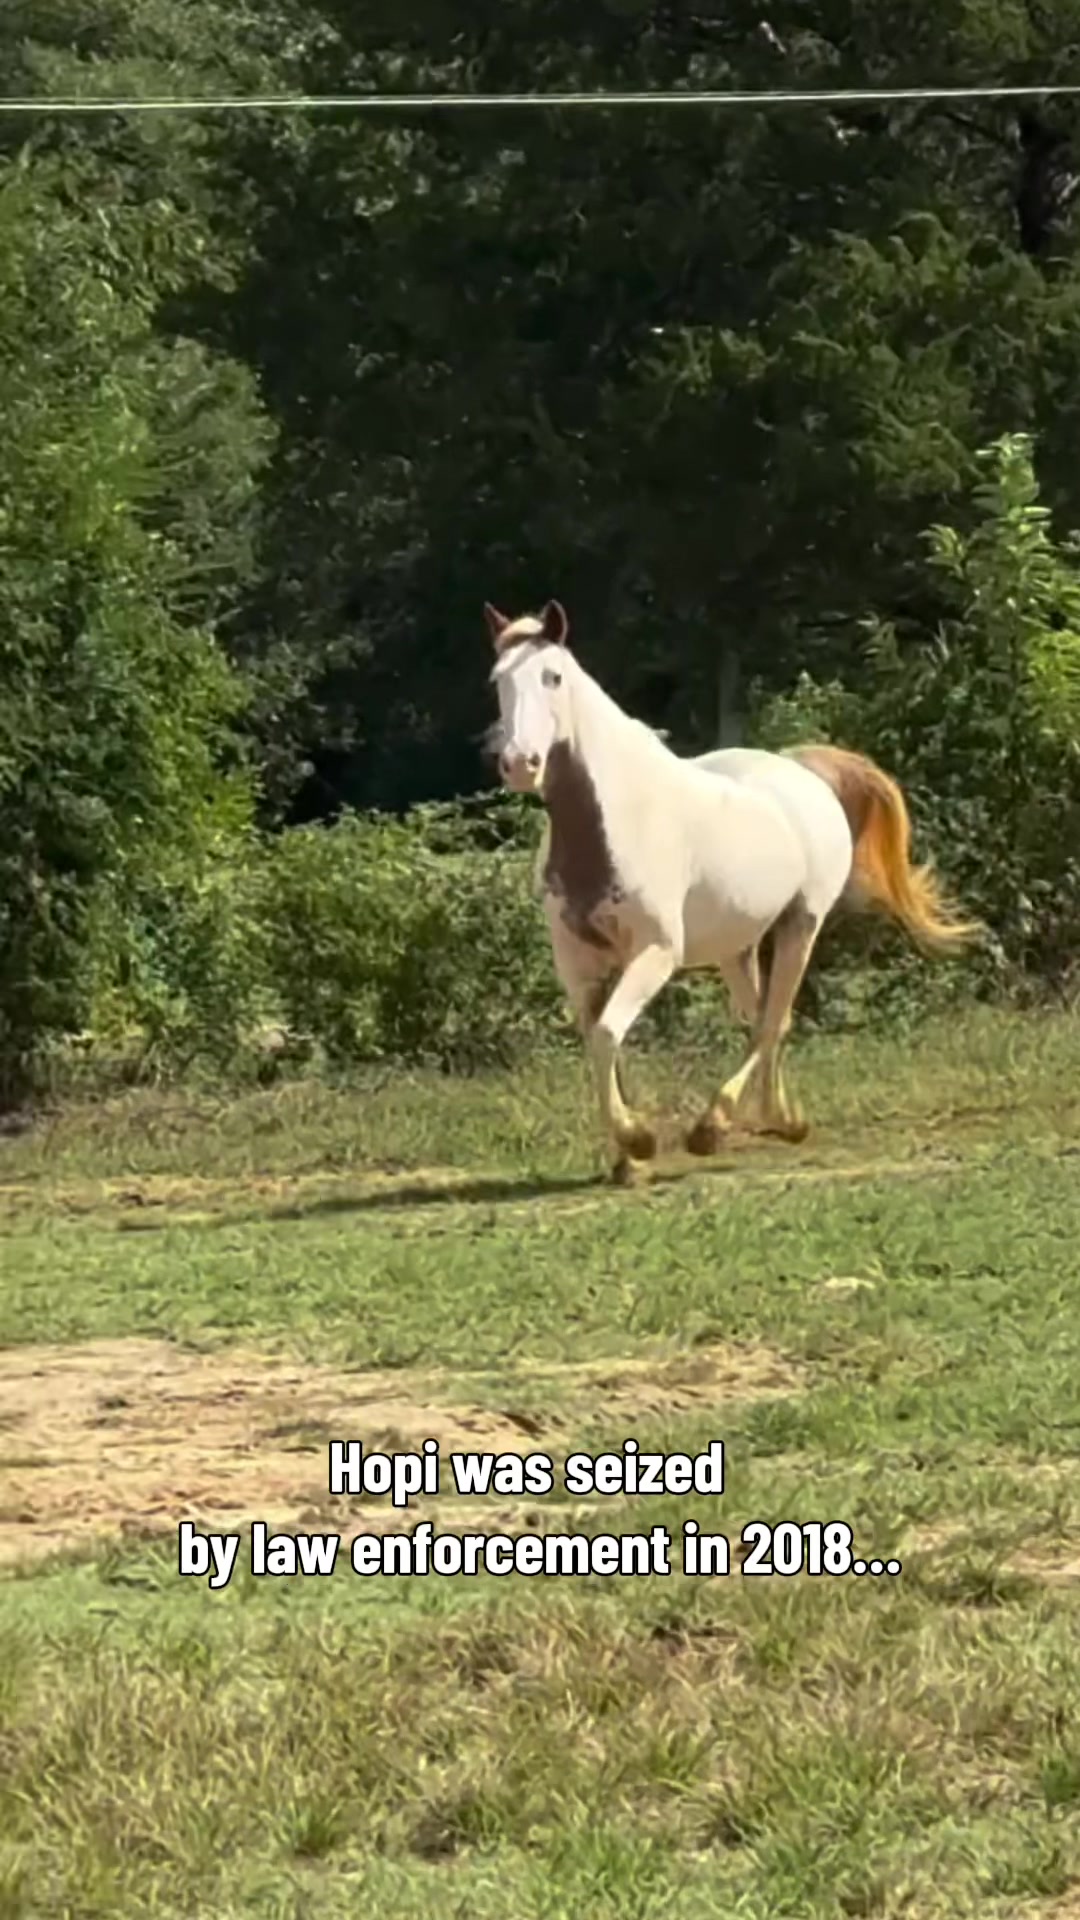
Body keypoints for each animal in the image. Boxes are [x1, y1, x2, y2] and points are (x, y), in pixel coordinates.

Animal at [482, 597, 981, 1183]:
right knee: (764, 1020)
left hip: (800, 926)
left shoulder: (657, 952)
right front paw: (626, 1158)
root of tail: (805, 771)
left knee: (770, 1022)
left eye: (552, 676)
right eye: (497, 680)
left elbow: (606, 1036)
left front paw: (640, 1140)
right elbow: (602, 1045)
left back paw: (715, 1125)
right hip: (737, 948)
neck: (616, 819)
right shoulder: (577, 960)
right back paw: (780, 1119)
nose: (520, 764)